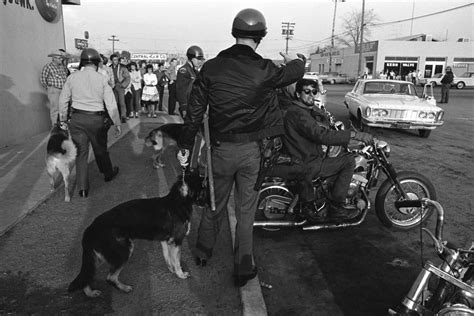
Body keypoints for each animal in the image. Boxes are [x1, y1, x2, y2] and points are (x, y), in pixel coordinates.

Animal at [67, 172, 208, 298]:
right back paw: (124, 288)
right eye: (203, 188)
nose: (209, 205)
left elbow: (169, 258)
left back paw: (90, 293)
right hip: (123, 252)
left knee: (87, 276)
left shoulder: (166, 242)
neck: (178, 201)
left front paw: (171, 269)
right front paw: (181, 274)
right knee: (110, 277)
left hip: (98, 257)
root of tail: (90, 229)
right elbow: (177, 261)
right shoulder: (176, 242)